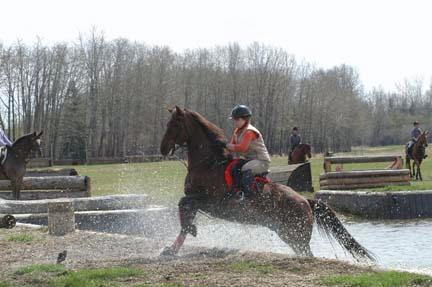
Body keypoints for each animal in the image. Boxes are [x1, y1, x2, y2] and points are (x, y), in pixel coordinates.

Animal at [159, 107, 374, 262]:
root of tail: (305, 200)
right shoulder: (198, 200)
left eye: (175, 124)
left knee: (308, 254)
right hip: (288, 235)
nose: (162, 148)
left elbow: (184, 205)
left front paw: (189, 231)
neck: (209, 163)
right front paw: (171, 249)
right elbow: (184, 210)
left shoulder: (211, 201)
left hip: (296, 235)